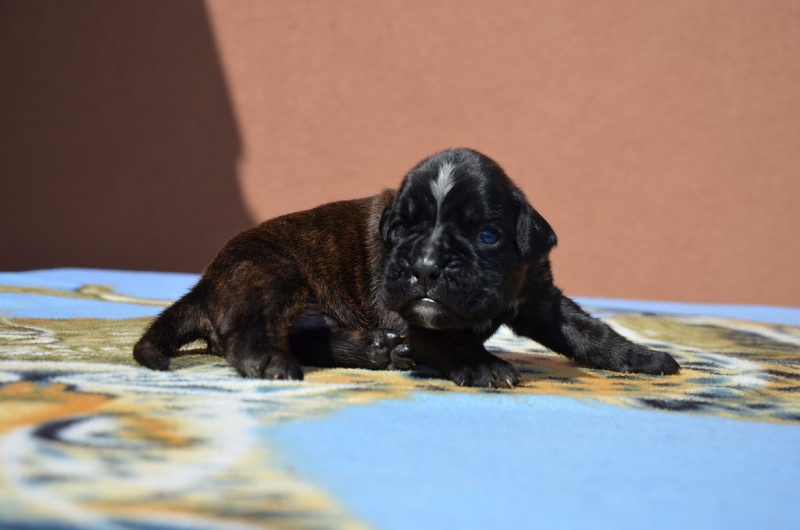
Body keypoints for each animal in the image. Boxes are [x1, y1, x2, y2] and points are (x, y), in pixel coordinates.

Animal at [134, 148, 680, 388]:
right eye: (399, 230)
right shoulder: (413, 312)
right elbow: (450, 340)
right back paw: (271, 362)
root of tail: (206, 284)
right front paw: (483, 364)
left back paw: (378, 350)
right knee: (243, 336)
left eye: (487, 235)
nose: (425, 266)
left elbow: (589, 332)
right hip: (273, 274)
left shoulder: (539, 297)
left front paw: (643, 357)